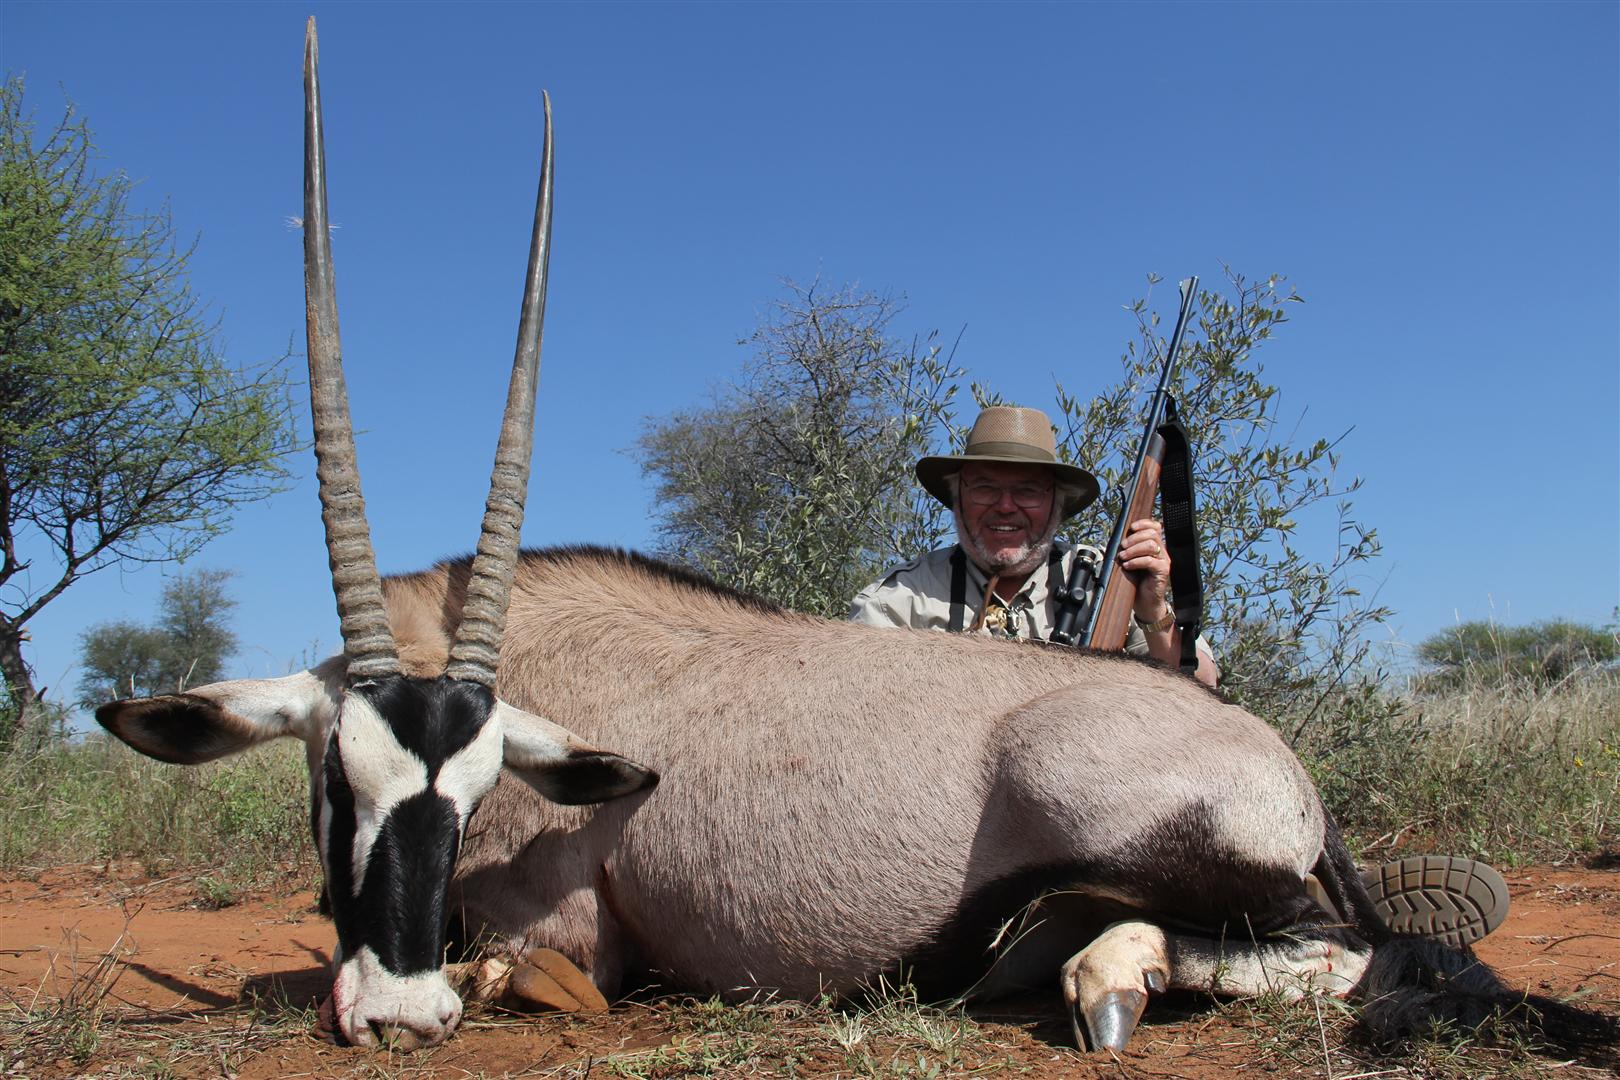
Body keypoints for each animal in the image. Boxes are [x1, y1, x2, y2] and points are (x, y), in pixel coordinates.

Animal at [95, 18, 1609, 1057]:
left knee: (1359, 959)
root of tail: (1274, 761)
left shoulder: (565, 931)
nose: (399, 1012)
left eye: (470, 794)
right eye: (333, 778)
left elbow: (532, 971)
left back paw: (1105, 978)